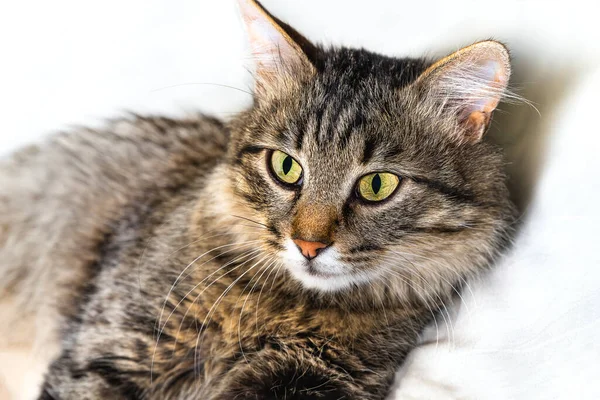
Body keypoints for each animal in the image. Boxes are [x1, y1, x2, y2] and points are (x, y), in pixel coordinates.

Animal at [0, 0, 516, 398]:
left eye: (377, 186)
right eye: (286, 168)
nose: (309, 246)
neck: (279, 306)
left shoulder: (313, 376)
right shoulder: (113, 346)